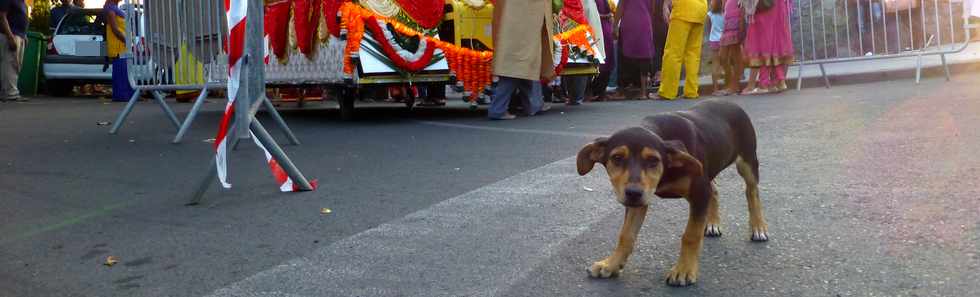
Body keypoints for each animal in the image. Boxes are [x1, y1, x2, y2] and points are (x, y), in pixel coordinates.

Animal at [580, 99, 768, 284]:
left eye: (653, 160)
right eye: (617, 158)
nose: (633, 193)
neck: (667, 171)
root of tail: (730, 101)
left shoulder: (699, 192)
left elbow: (691, 235)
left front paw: (683, 270)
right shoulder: (639, 201)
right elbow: (626, 235)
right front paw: (611, 264)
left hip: (747, 161)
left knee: (752, 192)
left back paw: (758, 227)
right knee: (714, 190)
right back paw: (713, 223)